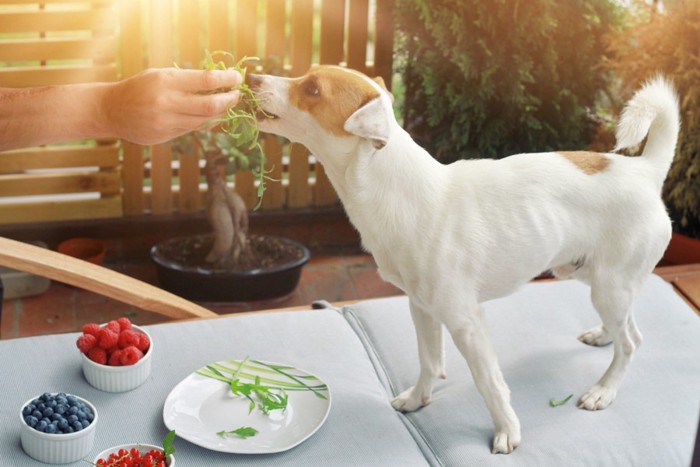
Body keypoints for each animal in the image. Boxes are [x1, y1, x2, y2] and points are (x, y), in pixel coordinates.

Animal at [249, 67, 680, 456]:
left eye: (312, 88)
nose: (252, 78)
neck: (398, 189)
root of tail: (644, 170)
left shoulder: (466, 323)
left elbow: (488, 381)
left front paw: (507, 430)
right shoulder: (421, 307)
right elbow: (428, 360)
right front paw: (418, 398)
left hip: (608, 286)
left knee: (632, 341)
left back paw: (604, 390)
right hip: (590, 276)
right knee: (625, 326)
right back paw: (603, 335)